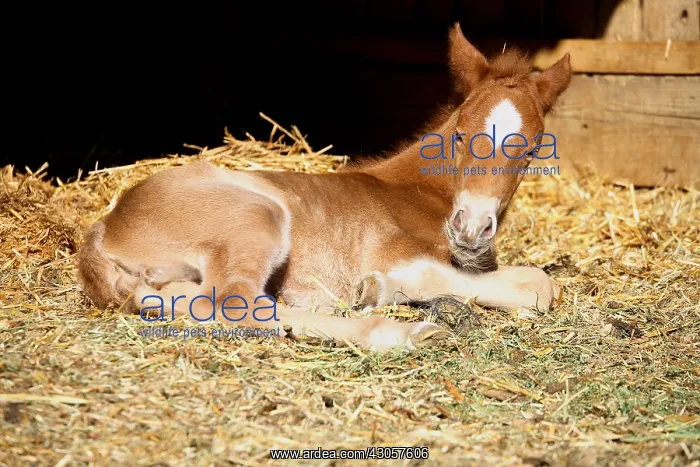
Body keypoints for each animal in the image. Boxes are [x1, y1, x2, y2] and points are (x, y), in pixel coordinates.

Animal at [77, 23, 572, 351]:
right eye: (460, 133)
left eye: (531, 149)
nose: (470, 228)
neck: (422, 191)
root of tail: (104, 228)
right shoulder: (396, 253)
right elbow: (538, 286)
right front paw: (381, 288)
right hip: (256, 217)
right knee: (235, 301)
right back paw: (395, 330)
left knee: (180, 299)